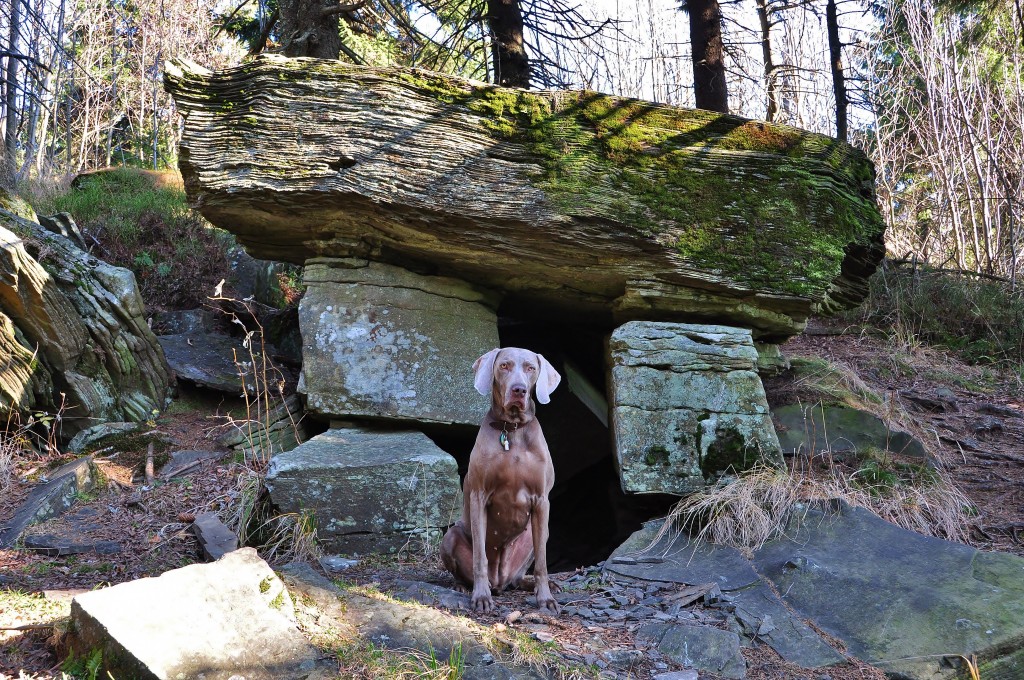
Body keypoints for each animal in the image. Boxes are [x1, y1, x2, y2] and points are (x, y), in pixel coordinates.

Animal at [442, 348, 565, 614]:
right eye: (504, 366)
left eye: (530, 368)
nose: (519, 389)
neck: (512, 429)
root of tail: (500, 580)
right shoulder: (479, 495)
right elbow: (479, 557)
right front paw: (480, 597)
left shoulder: (542, 500)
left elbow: (542, 564)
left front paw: (546, 599)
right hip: (451, 536)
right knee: (466, 570)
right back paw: (463, 586)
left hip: (534, 535)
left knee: (519, 577)